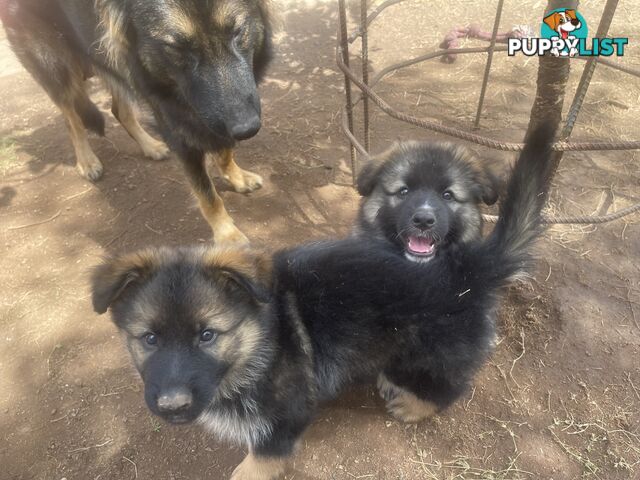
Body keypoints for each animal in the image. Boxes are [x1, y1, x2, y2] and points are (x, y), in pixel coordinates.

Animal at [0, 0, 272, 242]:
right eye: (176, 48)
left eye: (238, 32)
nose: (247, 128)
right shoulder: (180, 128)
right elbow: (208, 196)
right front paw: (228, 236)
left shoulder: (214, 118)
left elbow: (224, 152)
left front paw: (237, 177)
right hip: (57, 70)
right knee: (72, 119)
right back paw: (87, 161)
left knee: (118, 111)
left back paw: (150, 146)